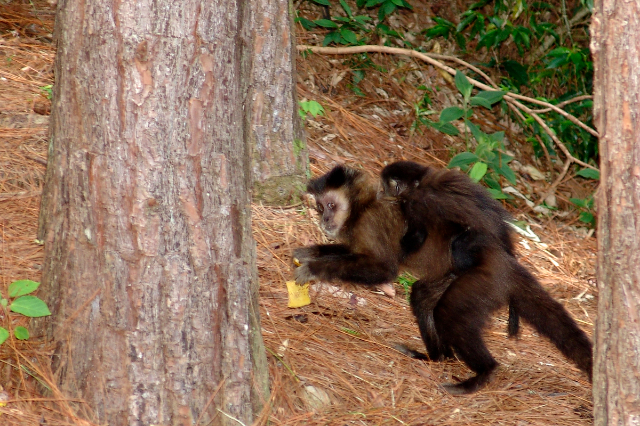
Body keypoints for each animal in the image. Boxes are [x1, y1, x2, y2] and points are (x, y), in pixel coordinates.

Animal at [379, 160, 593, 394]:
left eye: (387, 185)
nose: (380, 193)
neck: (421, 184)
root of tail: (505, 261)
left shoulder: (420, 202)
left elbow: (419, 235)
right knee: (424, 297)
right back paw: (437, 357)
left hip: (485, 280)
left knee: (450, 312)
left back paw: (484, 371)